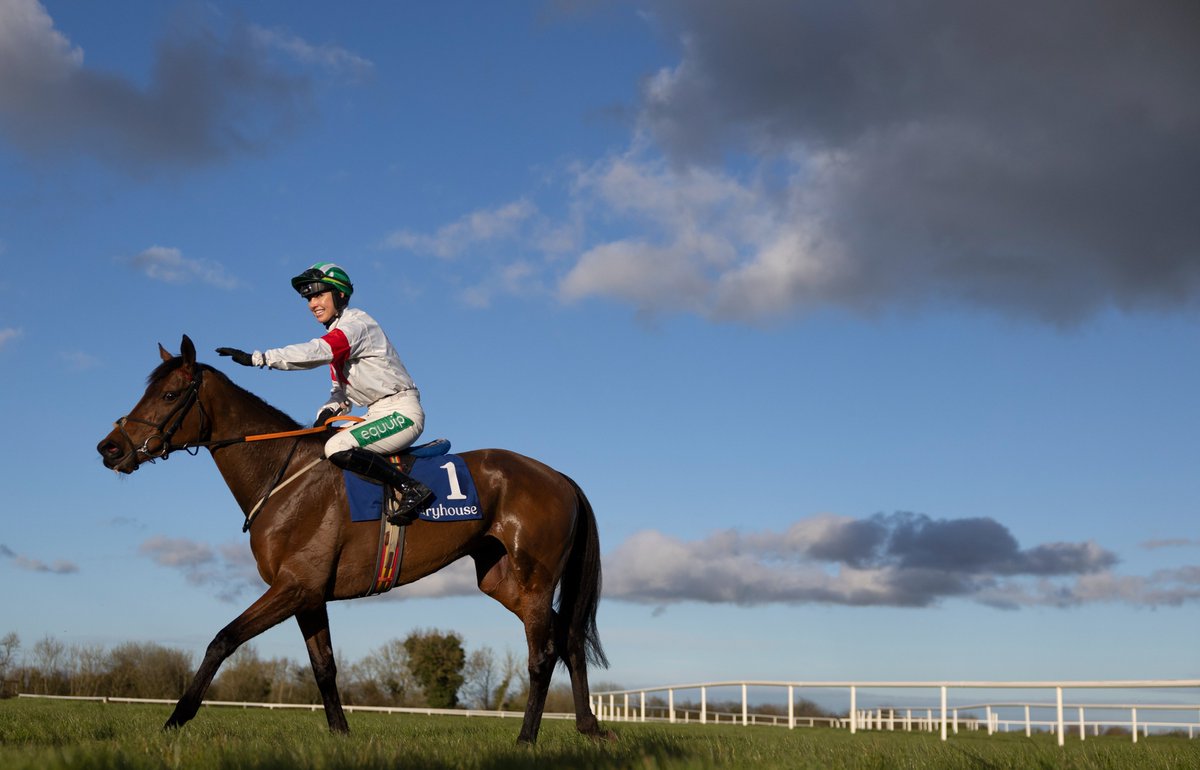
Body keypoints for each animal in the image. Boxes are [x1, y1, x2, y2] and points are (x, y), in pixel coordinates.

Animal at [96, 335, 610, 743]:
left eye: (169, 394)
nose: (110, 448)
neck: (283, 475)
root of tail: (559, 477)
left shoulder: (293, 586)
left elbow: (222, 640)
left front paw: (176, 719)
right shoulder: (308, 595)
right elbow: (324, 666)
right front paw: (341, 733)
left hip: (534, 579)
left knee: (543, 655)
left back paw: (526, 738)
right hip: (502, 580)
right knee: (568, 639)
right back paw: (588, 727)